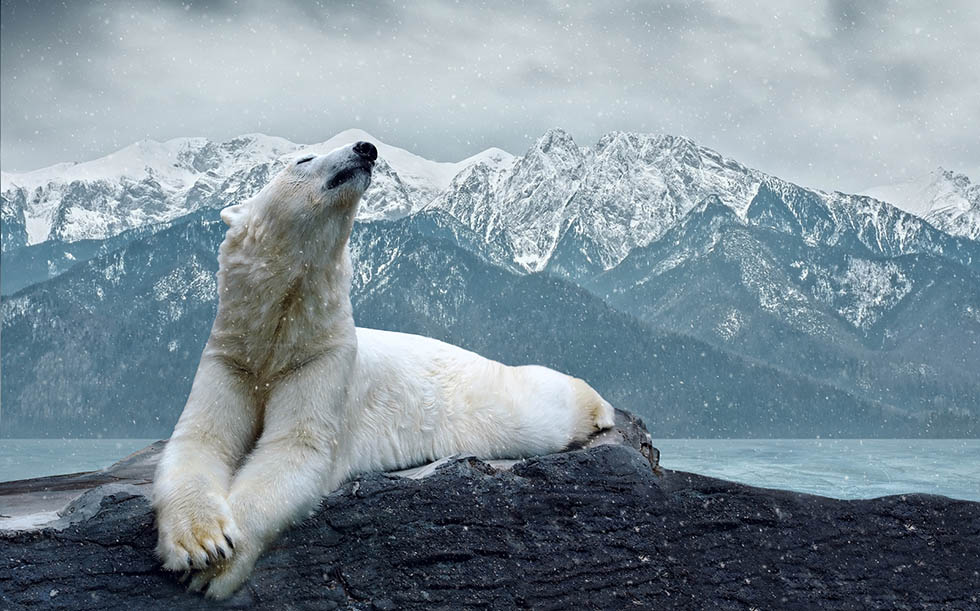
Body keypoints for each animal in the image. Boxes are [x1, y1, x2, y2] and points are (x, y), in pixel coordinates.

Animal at [152, 140, 616, 599]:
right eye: (304, 158)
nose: (366, 148)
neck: (279, 336)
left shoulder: (323, 360)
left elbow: (295, 449)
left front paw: (217, 565)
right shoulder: (233, 357)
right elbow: (201, 439)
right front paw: (200, 543)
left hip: (488, 398)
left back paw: (599, 408)